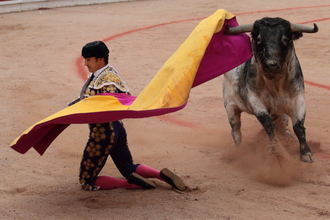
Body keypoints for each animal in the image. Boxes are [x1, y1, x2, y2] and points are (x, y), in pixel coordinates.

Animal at [223, 17, 318, 162]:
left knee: (284, 121)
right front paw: (275, 149)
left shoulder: (299, 99)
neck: (275, 83)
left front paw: (306, 153)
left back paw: (286, 135)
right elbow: (269, 125)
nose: (271, 64)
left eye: (285, 39)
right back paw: (238, 151)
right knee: (236, 131)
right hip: (230, 107)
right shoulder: (255, 102)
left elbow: (298, 127)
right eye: (258, 39)